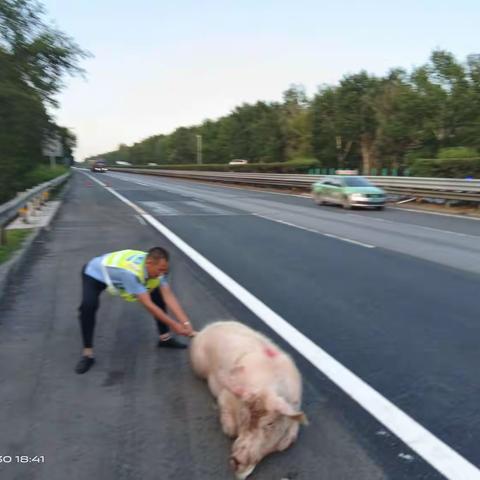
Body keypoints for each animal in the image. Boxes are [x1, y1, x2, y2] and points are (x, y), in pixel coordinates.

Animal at [188, 320, 308, 478]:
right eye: (244, 415)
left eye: (270, 423)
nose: (236, 459)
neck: (268, 388)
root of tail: (204, 330)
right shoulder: (226, 393)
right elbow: (230, 429)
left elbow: (288, 441)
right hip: (199, 366)